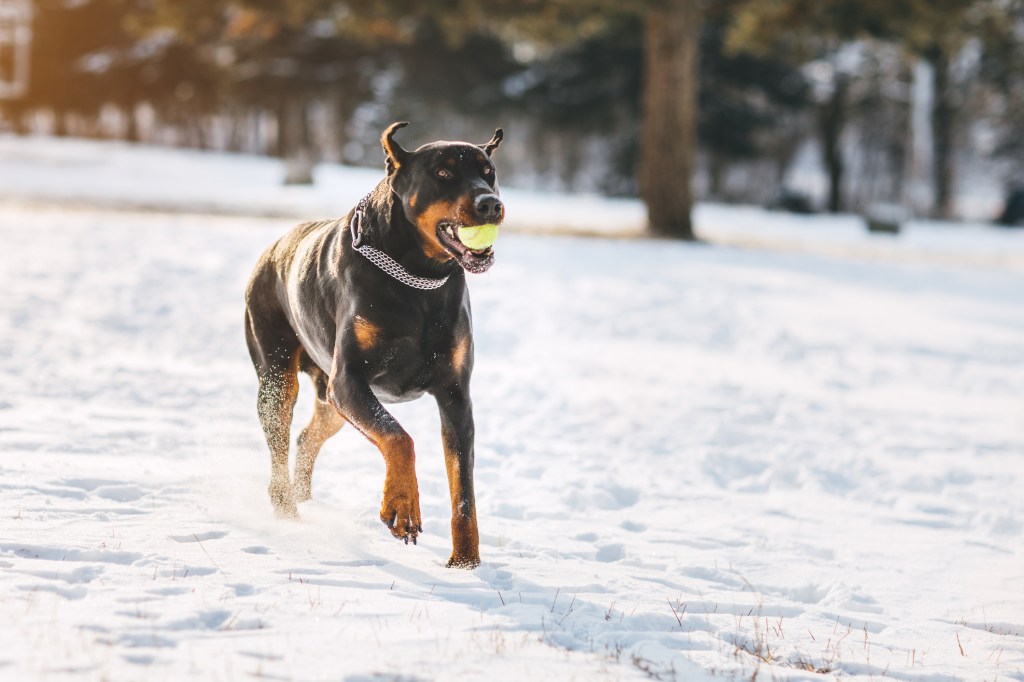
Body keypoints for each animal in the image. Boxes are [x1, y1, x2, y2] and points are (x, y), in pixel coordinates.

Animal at [247, 123, 503, 569]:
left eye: (489, 173)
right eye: (443, 173)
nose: (491, 204)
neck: (420, 279)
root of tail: (273, 248)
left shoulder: (456, 396)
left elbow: (464, 490)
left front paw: (465, 565)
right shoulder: (350, 380)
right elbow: (399, 438)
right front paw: (402, 506)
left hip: (330, 400)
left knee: (307, 437)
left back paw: (303, 497)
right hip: (280, 378)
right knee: (279, 439)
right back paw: (288, 513)